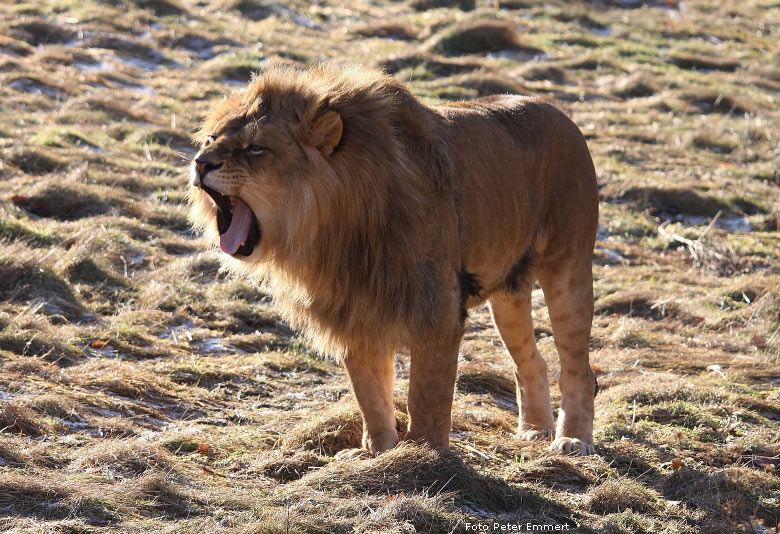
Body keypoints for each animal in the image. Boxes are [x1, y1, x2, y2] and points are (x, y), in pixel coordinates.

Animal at [187, 61, 596, 456]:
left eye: (255, 147)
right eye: (210, 139)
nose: (200, 163)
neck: (333, 229)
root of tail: (560, 114)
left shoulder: (437, 306)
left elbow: (426, 394)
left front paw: (425, 452)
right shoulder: (354, 309)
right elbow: (370, 393)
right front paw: (377, 452)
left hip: (569, 270)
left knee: (577, 367)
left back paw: (573, 440)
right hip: (508, 294)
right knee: (531, 360)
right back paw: (534, 430)